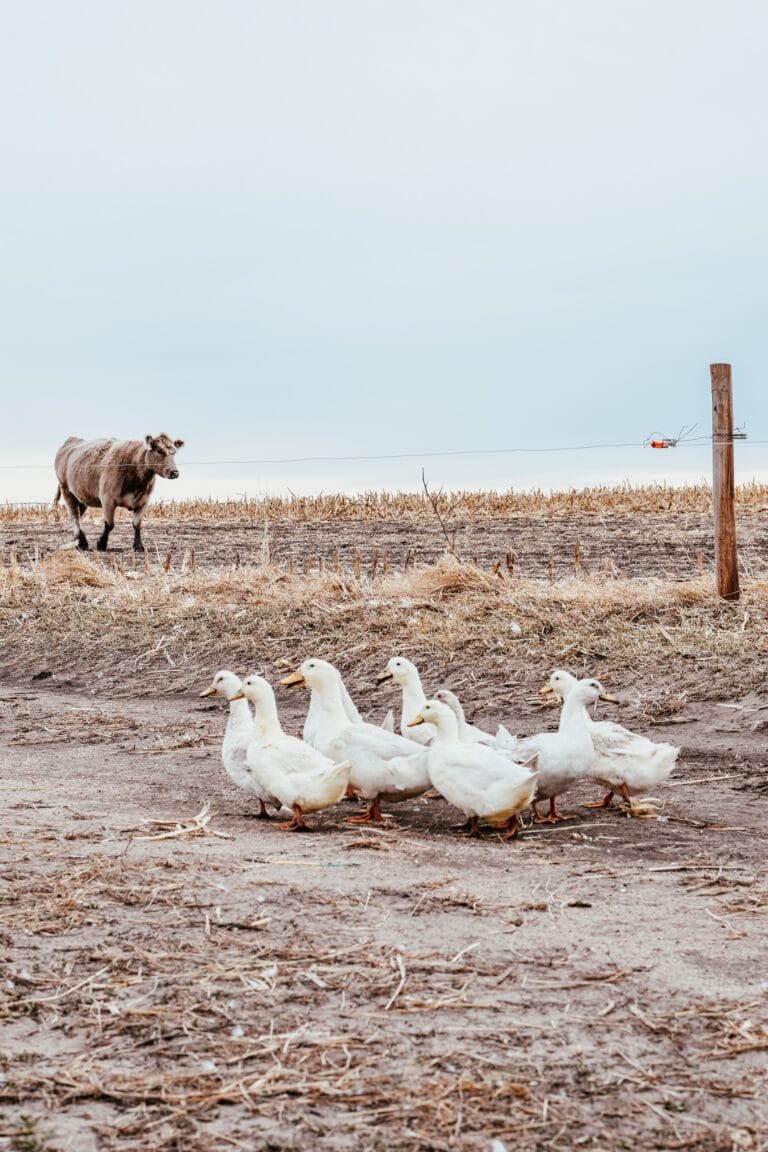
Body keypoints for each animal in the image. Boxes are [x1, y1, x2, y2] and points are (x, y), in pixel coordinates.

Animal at [53, 433, 184, 552]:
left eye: (174, 452)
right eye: (159, 451)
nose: (175, 472)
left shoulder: (143, 502)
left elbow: (137, 524)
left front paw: (138, 546)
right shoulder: (107, 500)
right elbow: (109, 524)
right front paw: (101, 543)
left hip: (82, 496)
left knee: (79, 516)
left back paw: (76, 540)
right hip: (66, 490)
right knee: (74, 515)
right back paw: (81, 542)